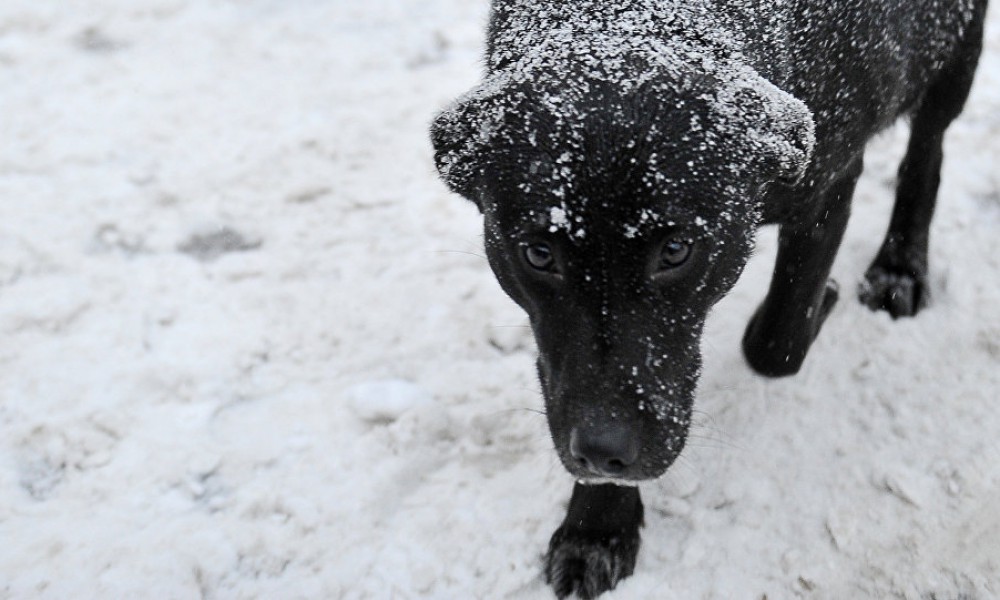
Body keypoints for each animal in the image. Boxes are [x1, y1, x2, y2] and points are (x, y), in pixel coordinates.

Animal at [428, 0, 984, 596]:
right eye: (537, 254)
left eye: (676, 250)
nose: (603, 448)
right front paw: (597, 531)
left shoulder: (829, 183)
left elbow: (777, 344)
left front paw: (824, 301)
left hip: (954, 55)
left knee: (927, 153)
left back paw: (899, 271)